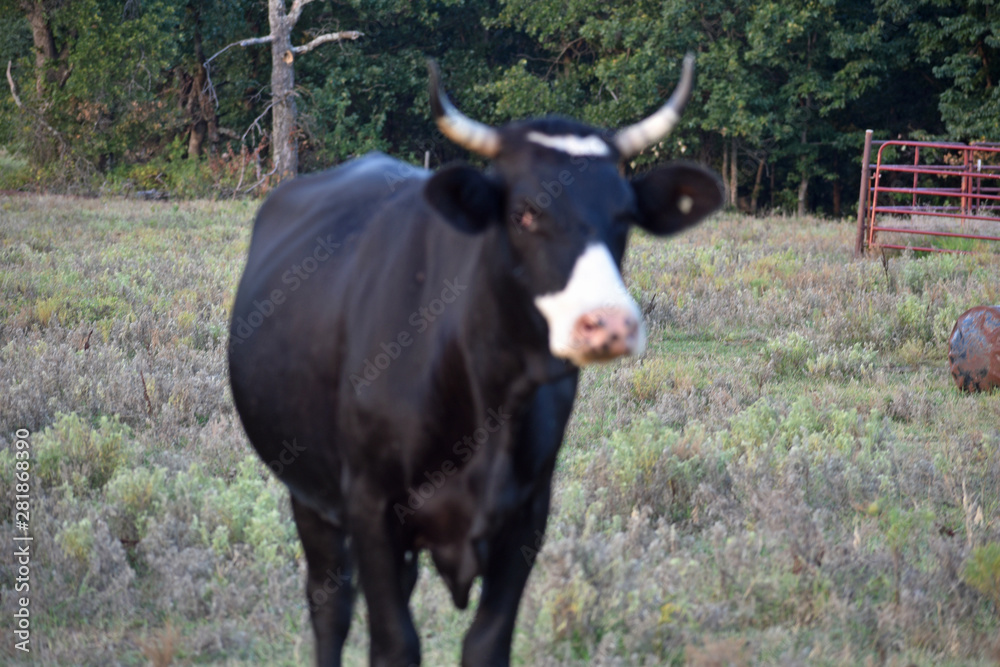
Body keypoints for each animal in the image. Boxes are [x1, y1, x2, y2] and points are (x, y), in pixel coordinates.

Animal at [230, 54, 724, 664]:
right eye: (524, 213)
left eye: (625, 215)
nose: (608, 323)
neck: (489, 400)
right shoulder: (369, 505)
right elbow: (394, 643)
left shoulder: (526, 515)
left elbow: (487, 643)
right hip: (309, 492)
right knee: (330, 606)